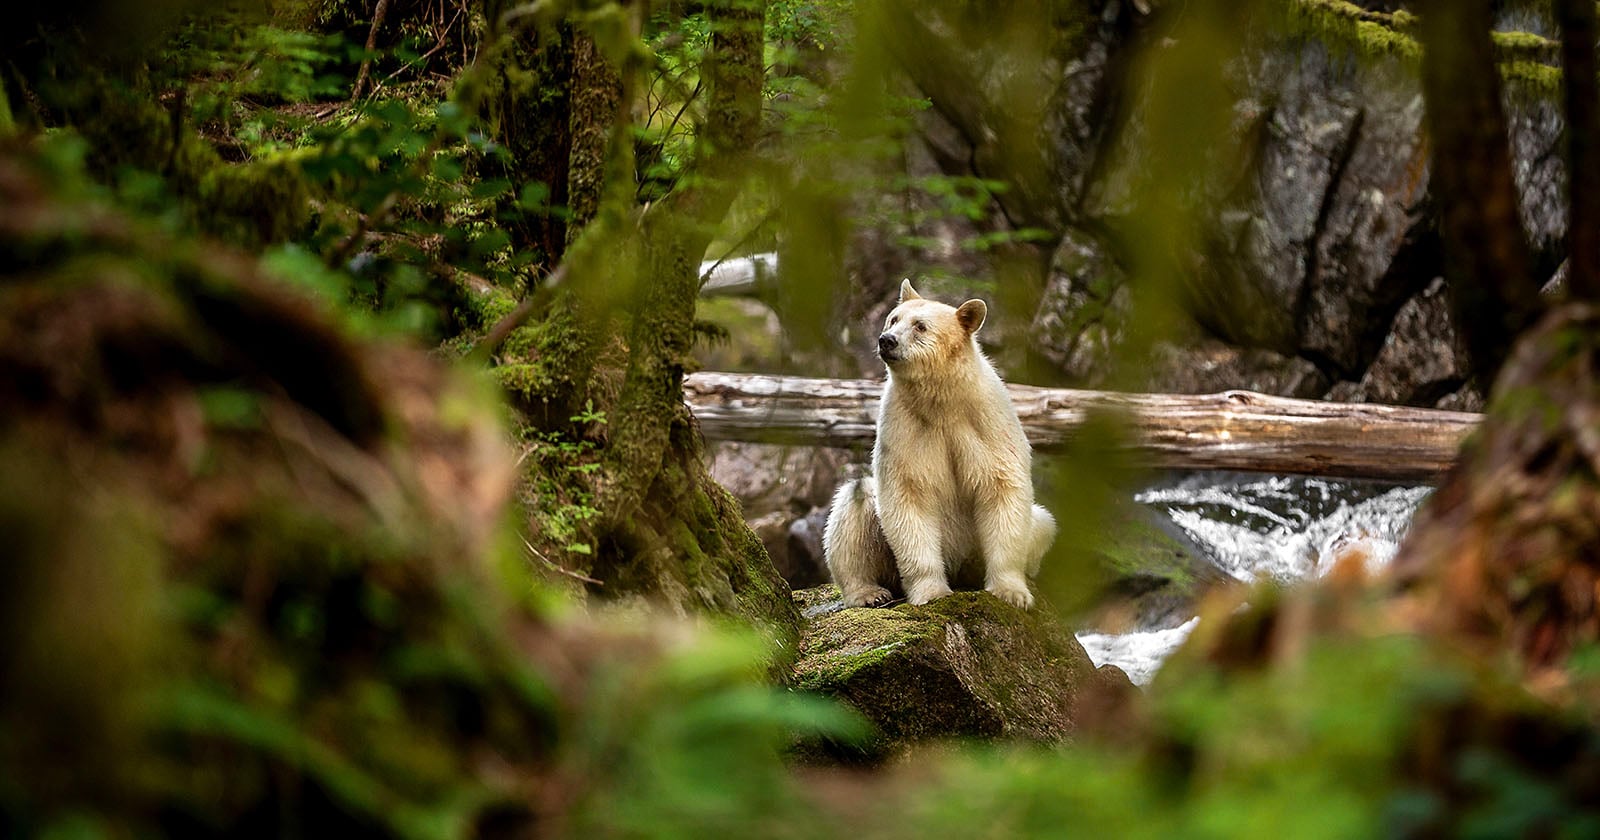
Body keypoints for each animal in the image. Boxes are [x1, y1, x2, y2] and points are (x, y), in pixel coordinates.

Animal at [823, 279, 1056, 610]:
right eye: (893, 319)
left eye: (920, 326)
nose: (886, 340)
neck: (942, 401)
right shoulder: (905, 425)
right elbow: (908, 493)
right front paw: (931, 592)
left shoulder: (986, 422)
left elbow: (1001, 488)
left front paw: (1011, 592)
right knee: (855, 505)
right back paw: (869, 592)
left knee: (1042, 523)